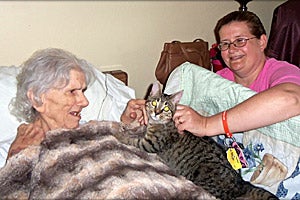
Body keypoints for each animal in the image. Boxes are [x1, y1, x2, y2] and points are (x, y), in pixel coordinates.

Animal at [114, 81, 276, 200]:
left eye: (166, 108)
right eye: (154, 103)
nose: (156, 112)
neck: (159, 123)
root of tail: (242, 183)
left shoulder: (151, 143)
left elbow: (133, 140)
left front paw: (120, 134)